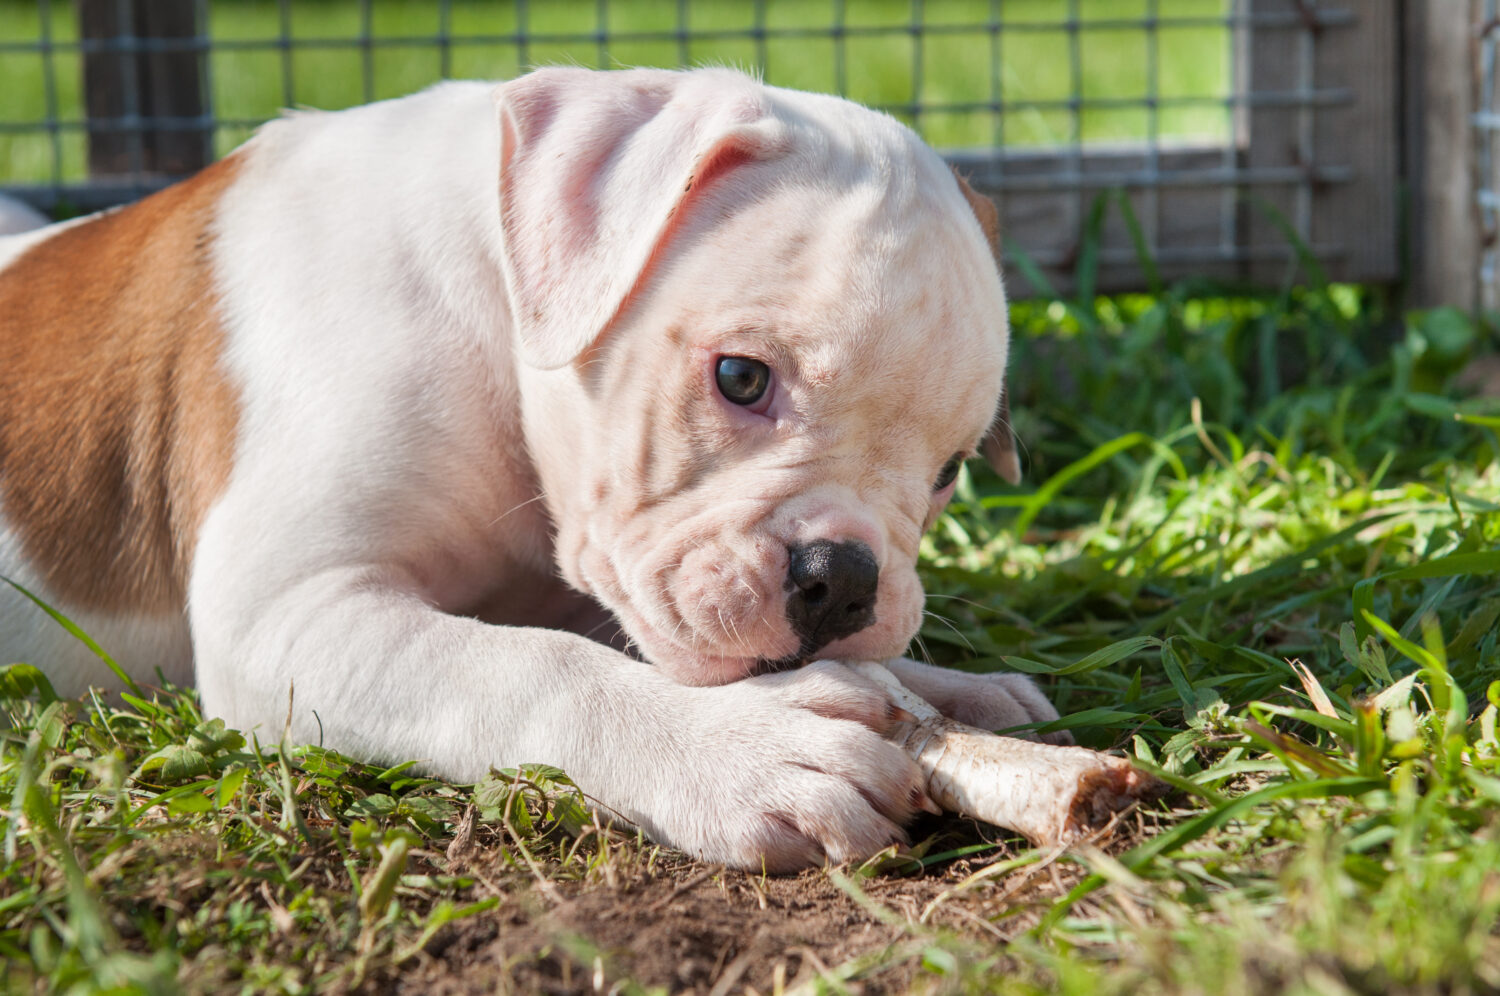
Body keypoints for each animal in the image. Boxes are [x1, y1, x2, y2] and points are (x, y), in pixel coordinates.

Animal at [0, 66, 1062, 870]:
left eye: (949, 471)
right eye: (741, 377)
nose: (842, 581)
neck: (493, 291)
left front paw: (954, 692)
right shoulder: (285, 613)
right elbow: (524, 665)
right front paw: (745, 751)